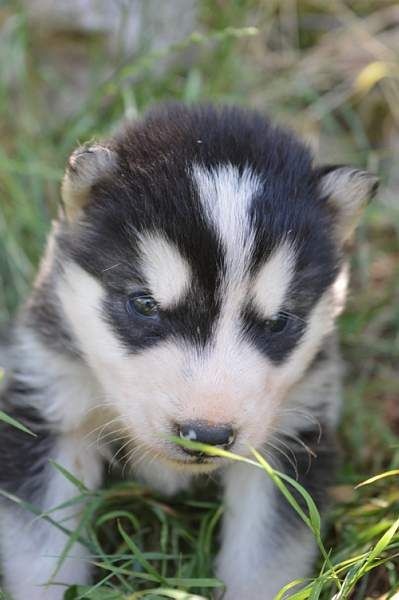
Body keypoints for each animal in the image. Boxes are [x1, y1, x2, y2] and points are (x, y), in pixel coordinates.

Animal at [0, 105, 378, 596]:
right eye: (144, 305)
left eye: (278, 323)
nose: (208, 436)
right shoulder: (49, 405)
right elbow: (41, 550)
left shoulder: (290, 436)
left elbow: (264, 559)